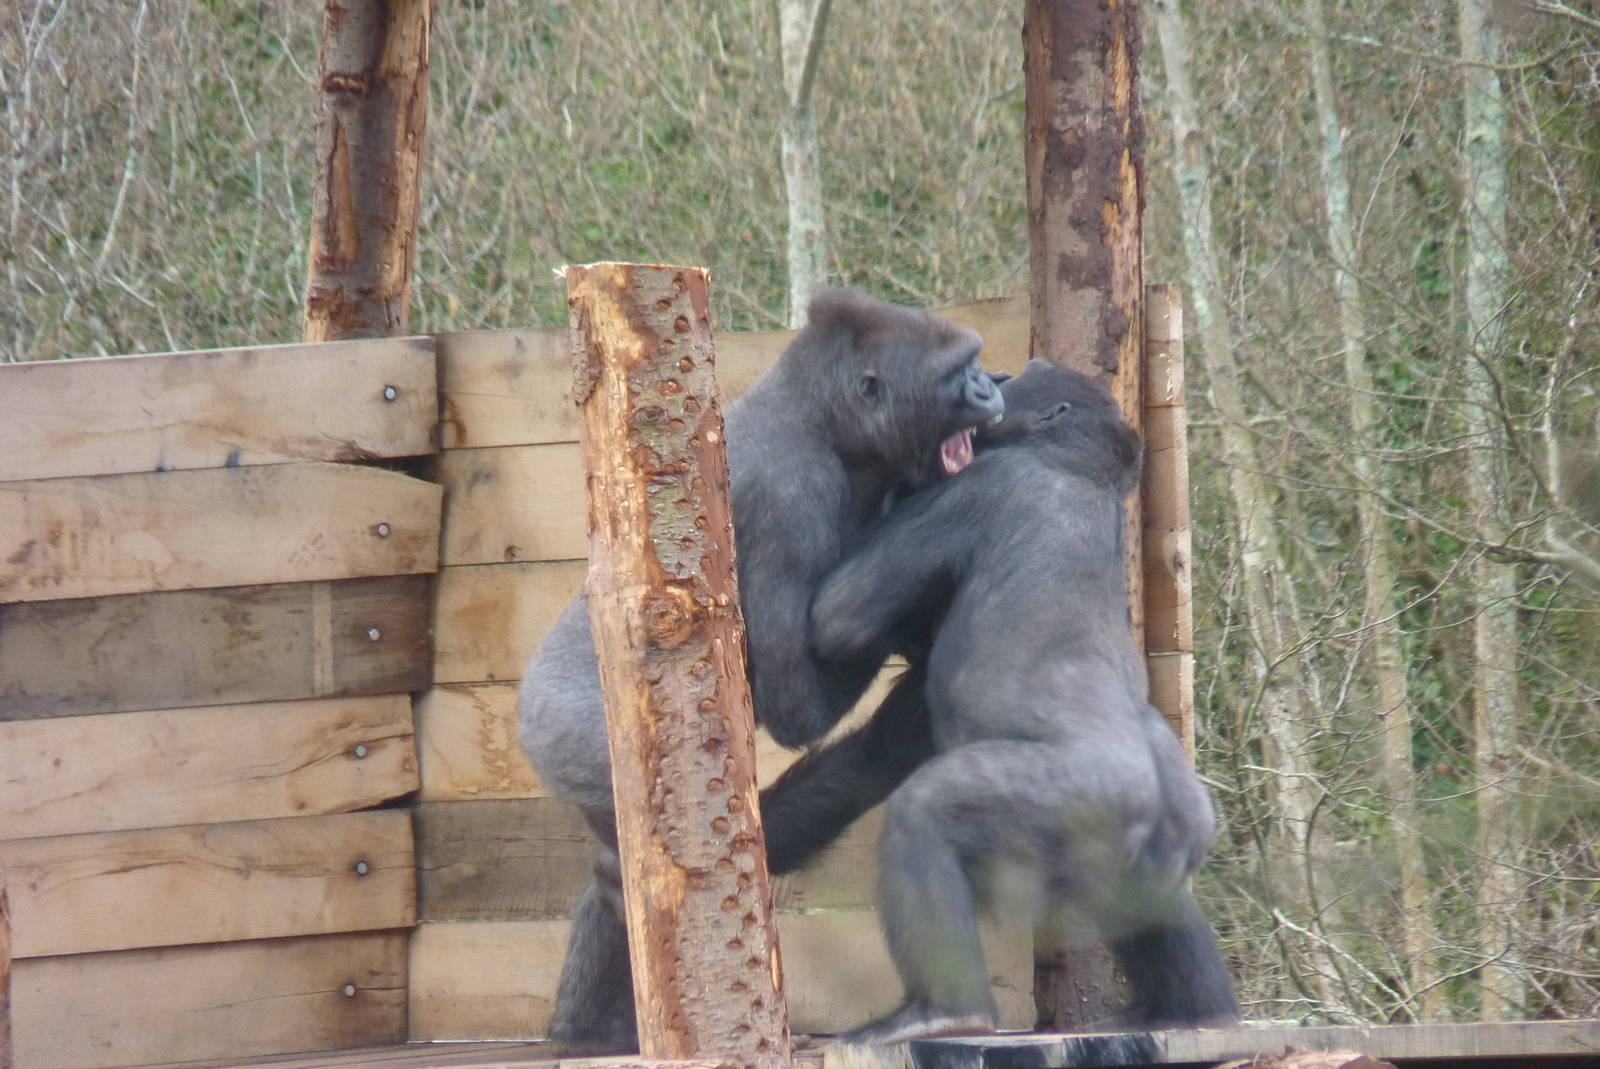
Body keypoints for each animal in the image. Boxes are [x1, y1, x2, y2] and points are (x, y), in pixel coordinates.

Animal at [516, 289, 1006, 1052]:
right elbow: (798, 703)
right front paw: (913, 678)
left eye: (975, 363)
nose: (990, 385)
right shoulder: (791, 496)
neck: (826, 421)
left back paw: (585, 1027)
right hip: (587, 743)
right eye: (959, 372)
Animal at [810, 358, 1240, 1044]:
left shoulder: (983, 486)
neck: (1073, 464)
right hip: (1163, 841)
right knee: (1153, 903)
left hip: (1078, 803)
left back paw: (944, 1011)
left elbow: (842, 617)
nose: (1000, 376)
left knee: (924, 816)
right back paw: (1196, 1008)